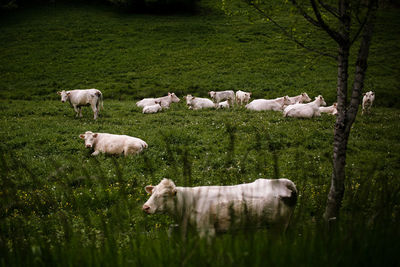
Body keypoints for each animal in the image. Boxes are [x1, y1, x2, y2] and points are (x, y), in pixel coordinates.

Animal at [141, 179, 296, 238]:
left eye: (164, 195)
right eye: (152, 192)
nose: (146, 207)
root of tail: (282, 182)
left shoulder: (207, 231)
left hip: (279, 226)